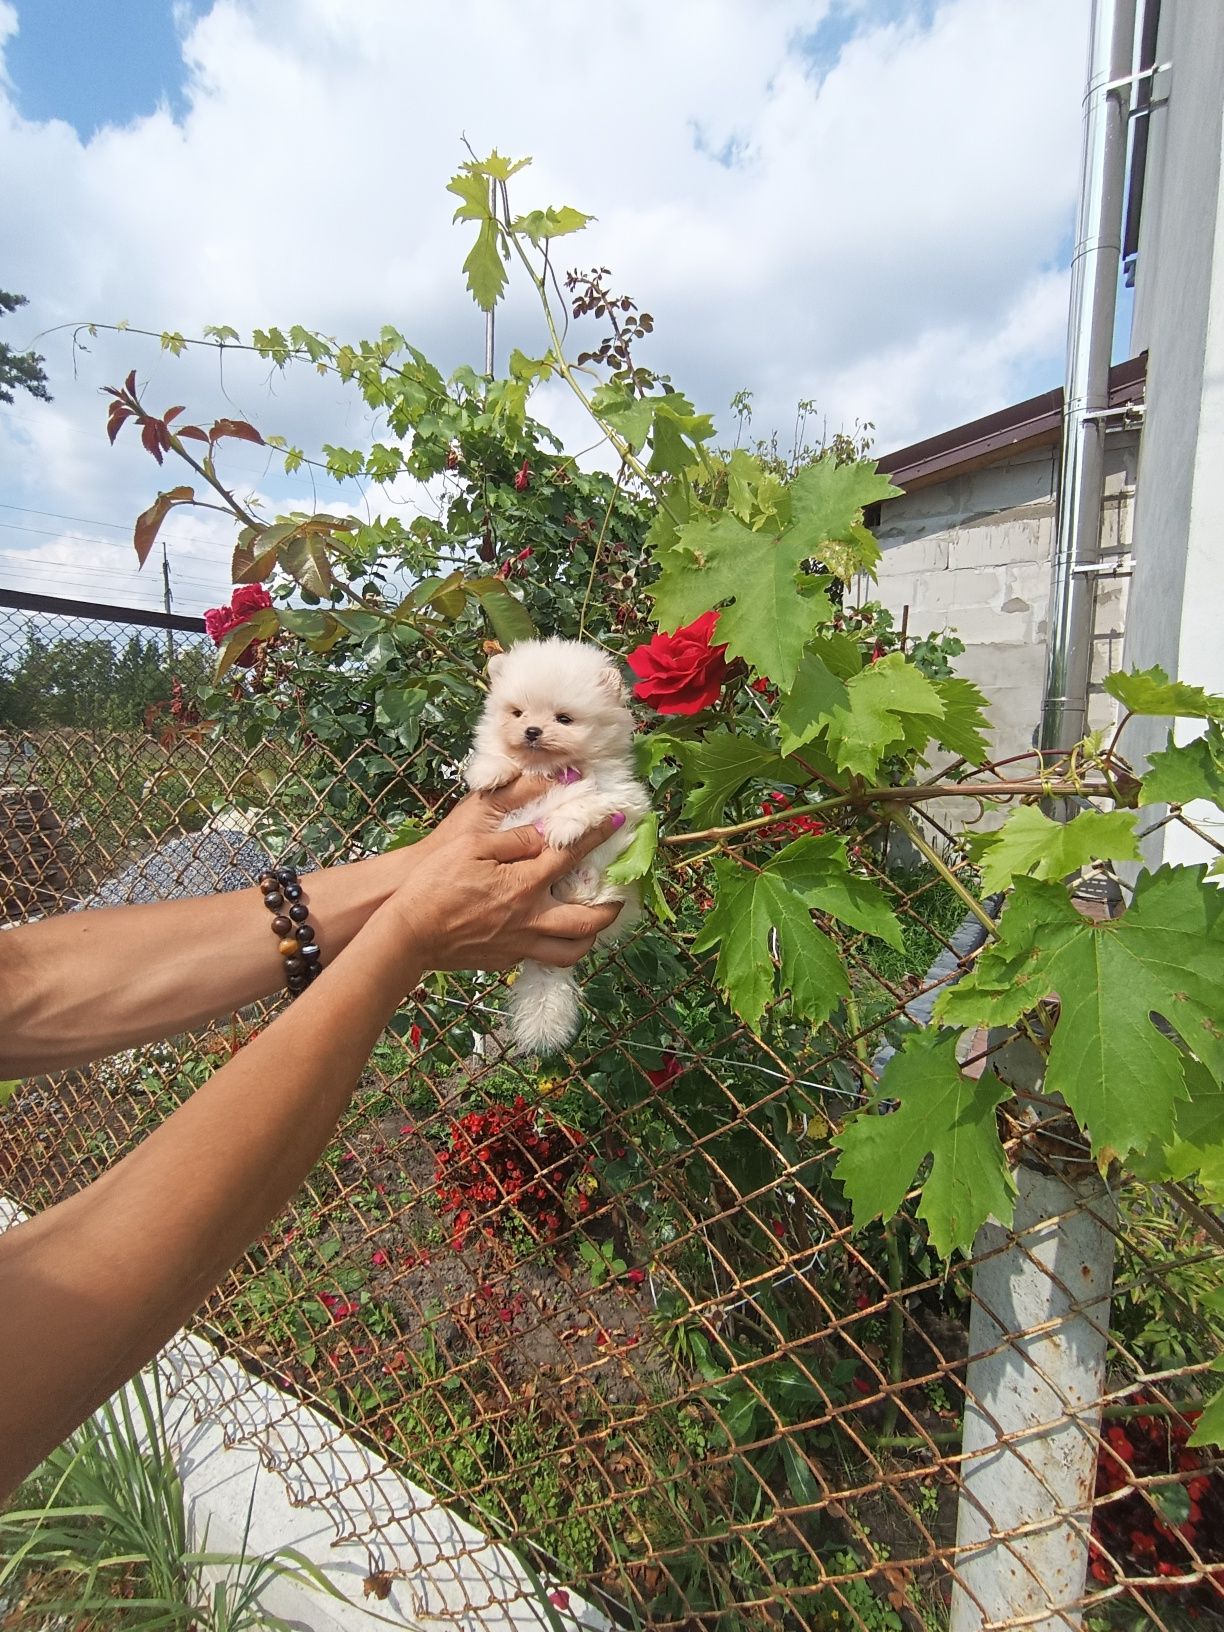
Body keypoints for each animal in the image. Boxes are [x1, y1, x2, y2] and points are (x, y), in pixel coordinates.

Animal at [463, 629, 652, 1051]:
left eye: (563, 719)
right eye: (518, 714)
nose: (532, 731)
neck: (548, 770)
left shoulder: (620, 795)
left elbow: (586, 799)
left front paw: (561, 826)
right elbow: (500, 759)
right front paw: (488, 771)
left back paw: (579, 881)